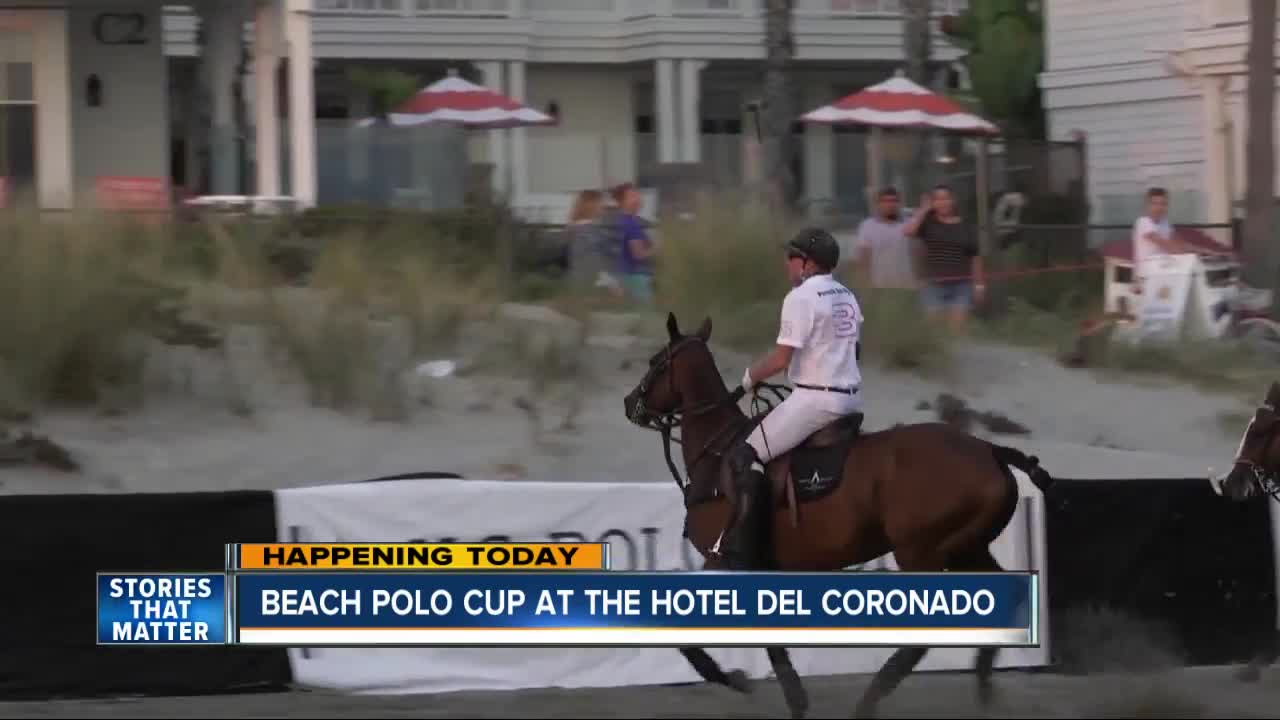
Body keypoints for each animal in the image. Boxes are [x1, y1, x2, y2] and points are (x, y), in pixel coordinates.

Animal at [624, 311, 1054, 712]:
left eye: (655, 362)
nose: (630, 404)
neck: (716, 454)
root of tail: (991, 450)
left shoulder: (726, 559)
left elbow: (688, 634)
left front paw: (753, 683)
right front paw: (773, 689)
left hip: (922, 552)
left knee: (926, 634)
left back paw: (871, 699)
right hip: (967, 547)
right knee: (1006, 596)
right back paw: (982, 684)